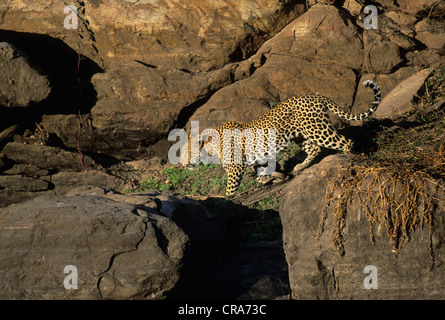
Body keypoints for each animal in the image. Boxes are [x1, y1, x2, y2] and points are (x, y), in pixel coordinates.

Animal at [186, 79, 380, 196]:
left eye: (187, 152)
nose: (182, 164)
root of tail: (318, 97)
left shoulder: (235, 168)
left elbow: (231, 188)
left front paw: (227, 199)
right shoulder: (256, 158)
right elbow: (261, 171)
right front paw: (274, 177)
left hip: (317, 129)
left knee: (346, 141)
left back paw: (345, 159)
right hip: (301, 135)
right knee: (315, 148)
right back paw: (300, 167)